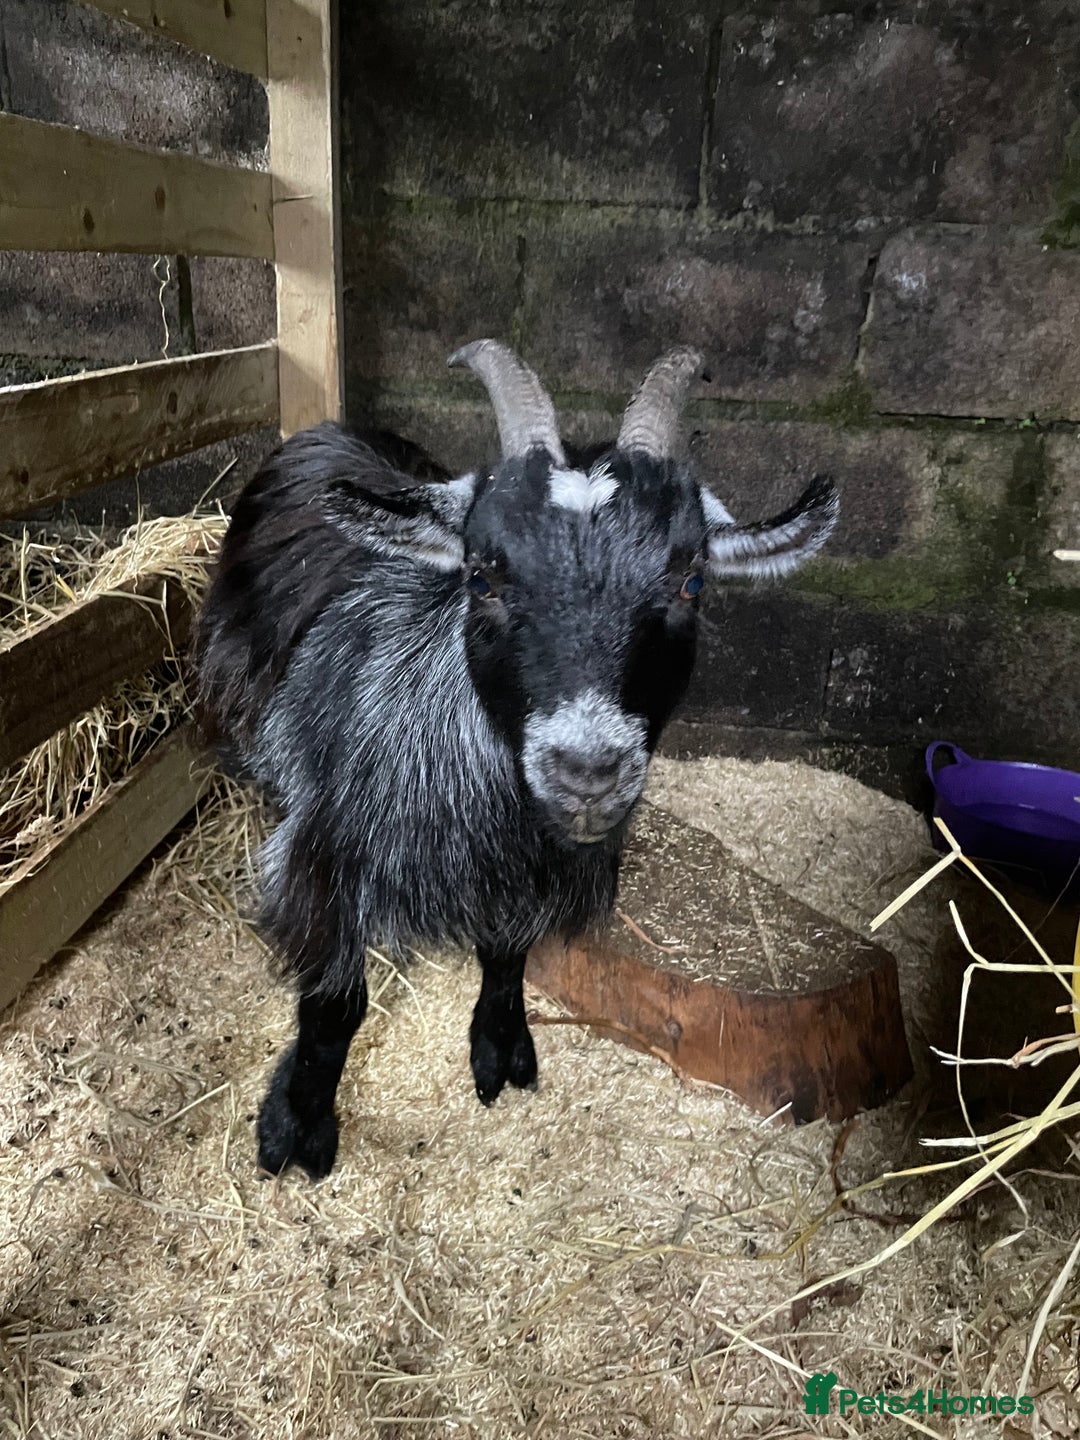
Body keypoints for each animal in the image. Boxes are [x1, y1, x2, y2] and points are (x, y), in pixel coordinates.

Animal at [195, 341, 838, 1179]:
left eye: (692, 580)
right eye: (482, 575)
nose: (587, 772)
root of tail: (328, 430)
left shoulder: (528, 873)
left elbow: (506, 954)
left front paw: (500, 1051)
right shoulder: (324, 858)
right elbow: (335, 1005)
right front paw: (295, 1127)